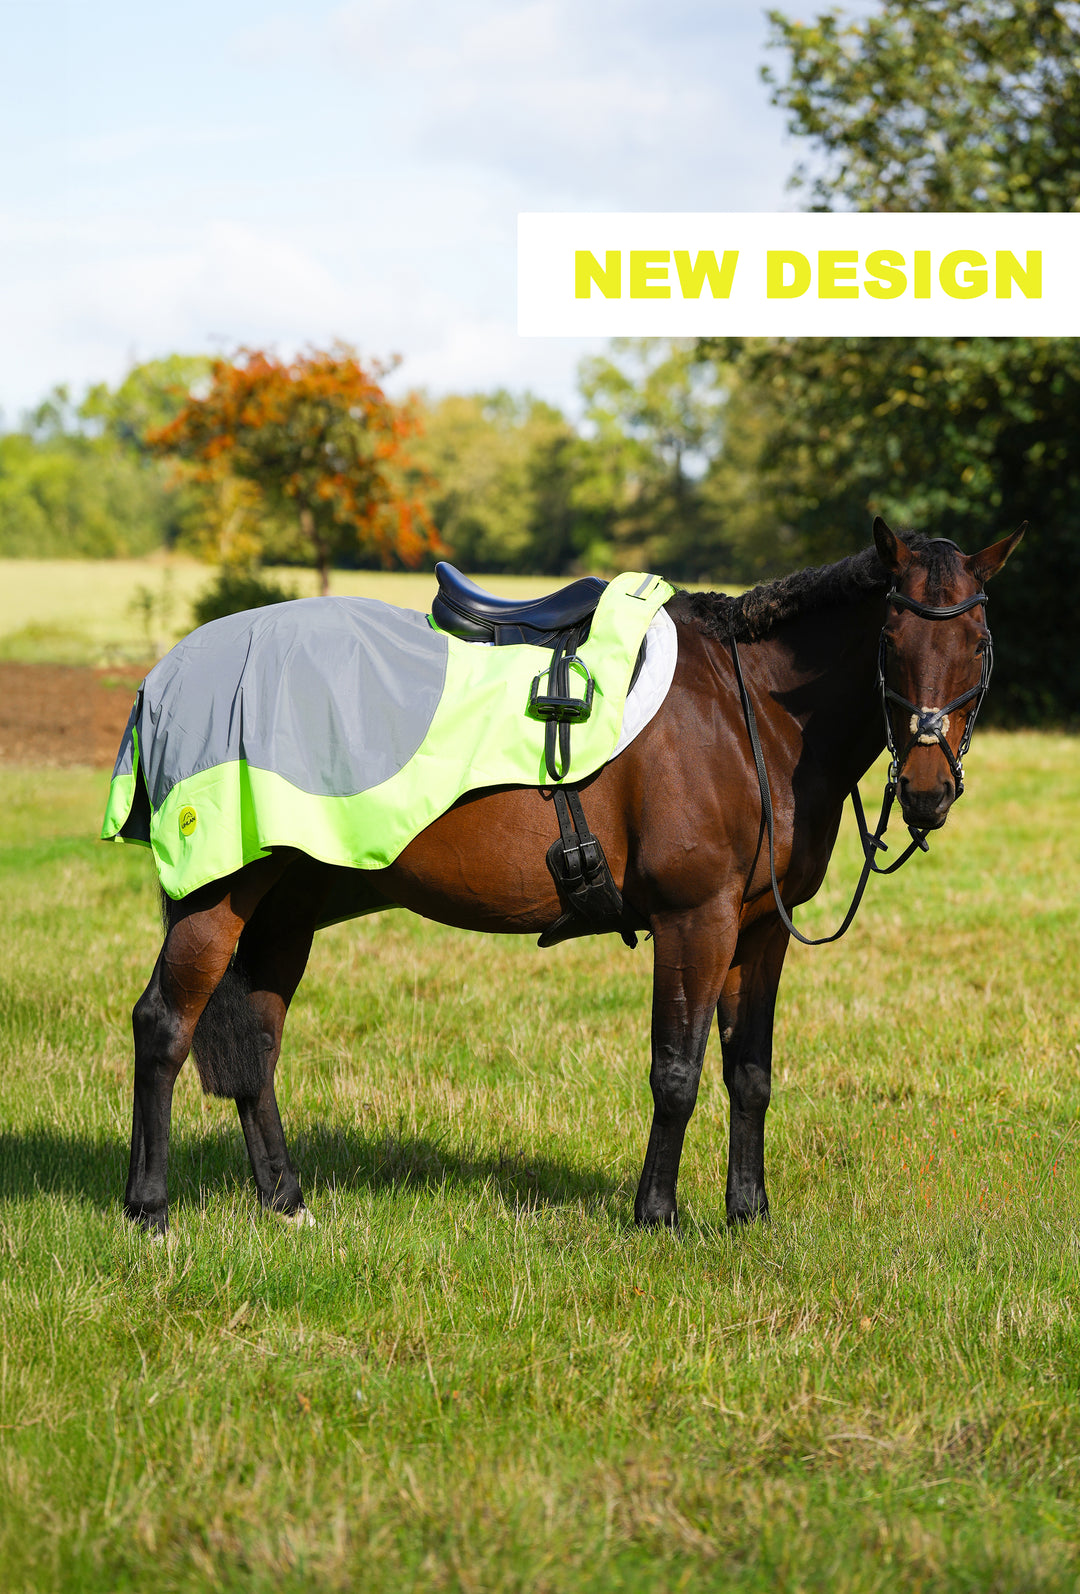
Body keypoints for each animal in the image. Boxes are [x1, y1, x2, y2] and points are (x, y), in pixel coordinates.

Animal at [120, 519, 1023, 1235]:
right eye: (892, 641)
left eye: (977, 645)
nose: (929, 790)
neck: (748, 712)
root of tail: (165, 674)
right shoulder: (695, 920)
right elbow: (677, 1072)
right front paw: (656, 1215)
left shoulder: (759, 930)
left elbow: (750, 1074)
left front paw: (749, 1212)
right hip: (219, 895)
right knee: (164, 1025)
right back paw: (150, 1210)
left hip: (287, 906)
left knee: (258, 1040)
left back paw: (286, 1201)